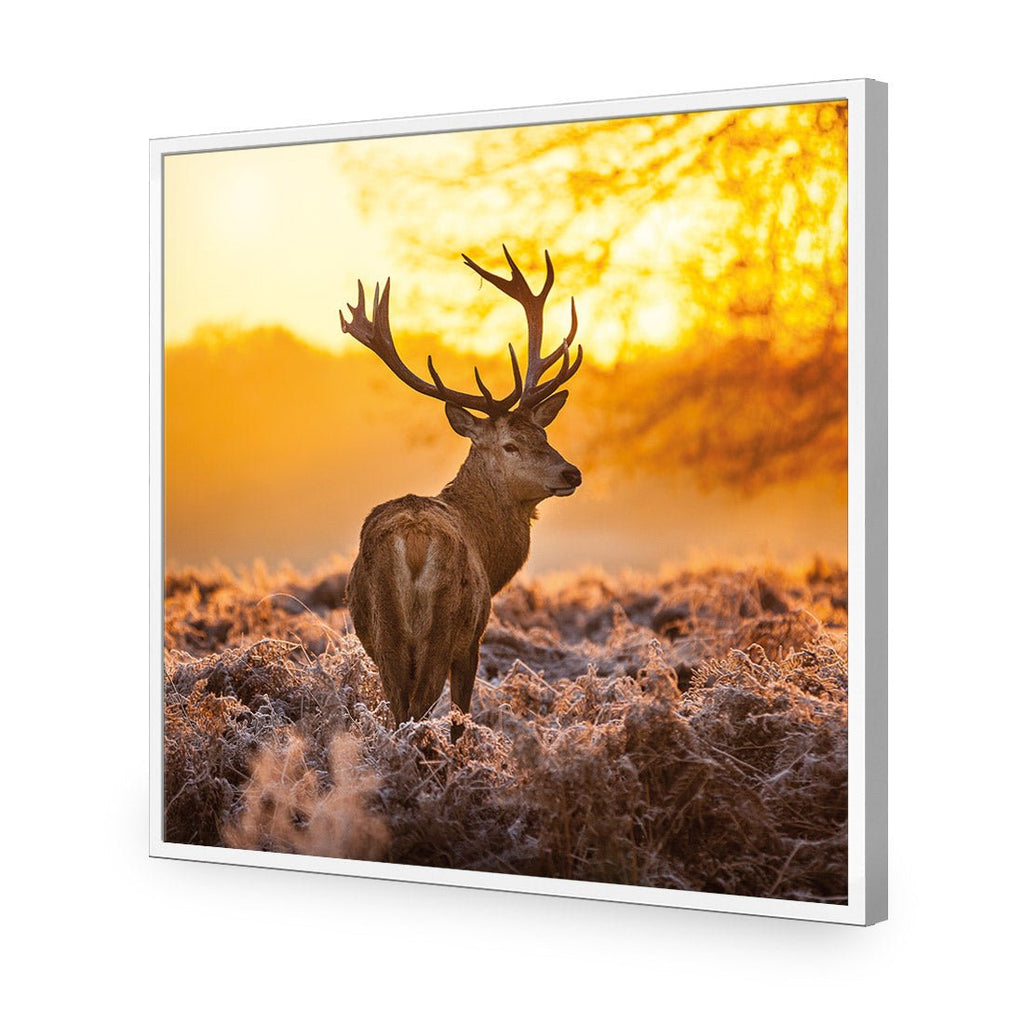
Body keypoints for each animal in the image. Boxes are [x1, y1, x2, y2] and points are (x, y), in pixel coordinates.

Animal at [340, 247, 583, 740]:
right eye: (510, 444)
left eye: (543, 434)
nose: (572, 473)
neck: (490, 554)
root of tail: (412, 541)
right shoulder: (473, 639)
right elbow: (460, 718)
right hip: (444, 628)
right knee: (418, 709)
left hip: (384, 633)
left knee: (398, 709)